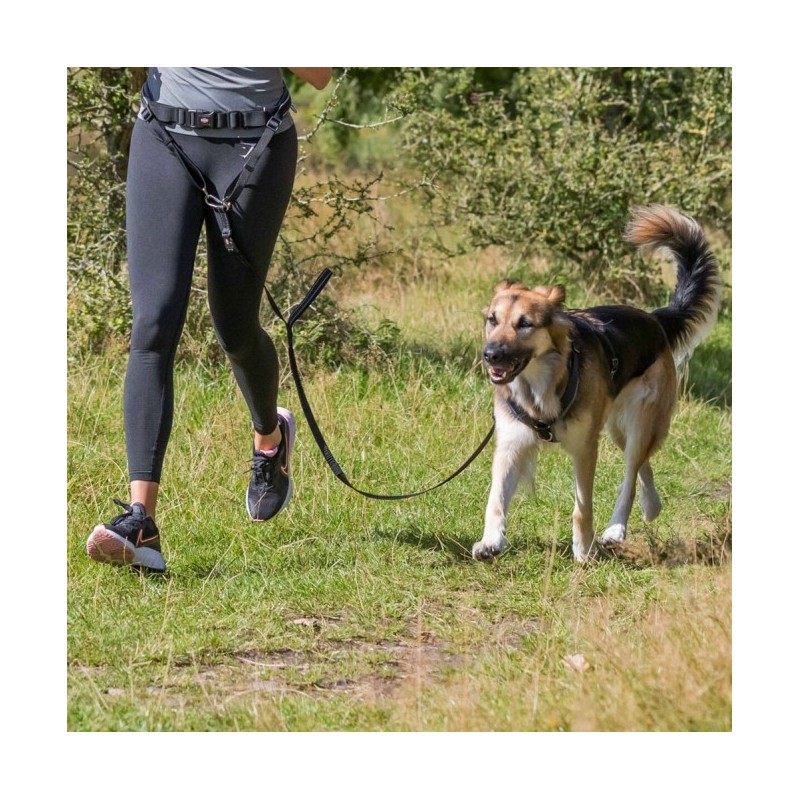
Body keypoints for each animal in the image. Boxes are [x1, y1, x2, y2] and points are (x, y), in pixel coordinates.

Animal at [472, 206, 720, 564]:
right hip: (617, 428)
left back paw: (616, 530)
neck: (541, 386)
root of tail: (654, 320)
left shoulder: (585, 448)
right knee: (643, 465)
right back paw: (652, 505)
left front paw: (584, 549)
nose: (490, 355)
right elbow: (495, 499)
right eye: (492, 319)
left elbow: (582, 508)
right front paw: (490, 541)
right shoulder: (511, 443)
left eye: (525, 324)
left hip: (639, 422)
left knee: (630, 474)